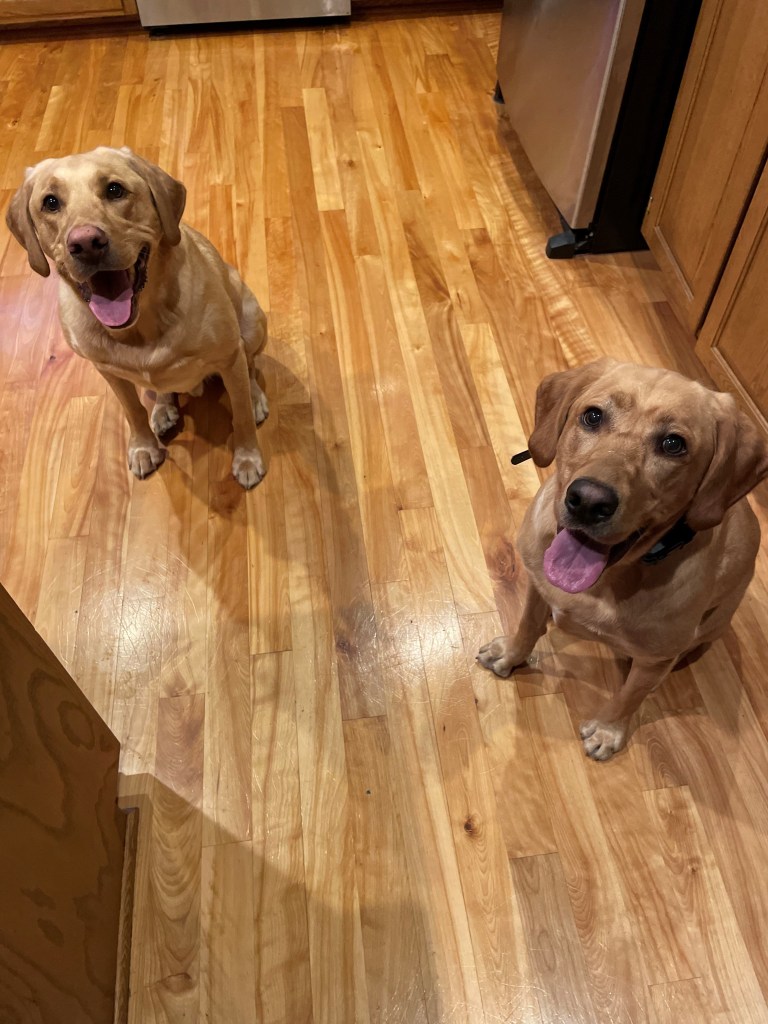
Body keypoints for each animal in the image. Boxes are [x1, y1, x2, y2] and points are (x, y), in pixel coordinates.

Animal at [6, 146, 268, 488]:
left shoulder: (229, 355)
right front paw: (144, 447)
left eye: (114, 190)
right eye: (50, 202)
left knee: (250, 367)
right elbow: (133, 412)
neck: (141, 327)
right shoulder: (110, 373)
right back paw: (163, 409)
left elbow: (241, 413)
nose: (86, 243)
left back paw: (255, 396)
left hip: (250, 322)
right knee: (162, 390)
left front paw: (248, 457)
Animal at [478, 359, 768, 760]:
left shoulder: (655, 660)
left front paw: (607, 729)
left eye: (673, 444)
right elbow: (527, 625)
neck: (604, 582)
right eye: (593, 416)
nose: (588, 501)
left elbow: (630, 696)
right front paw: (510, 654)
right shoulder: (538, 586)